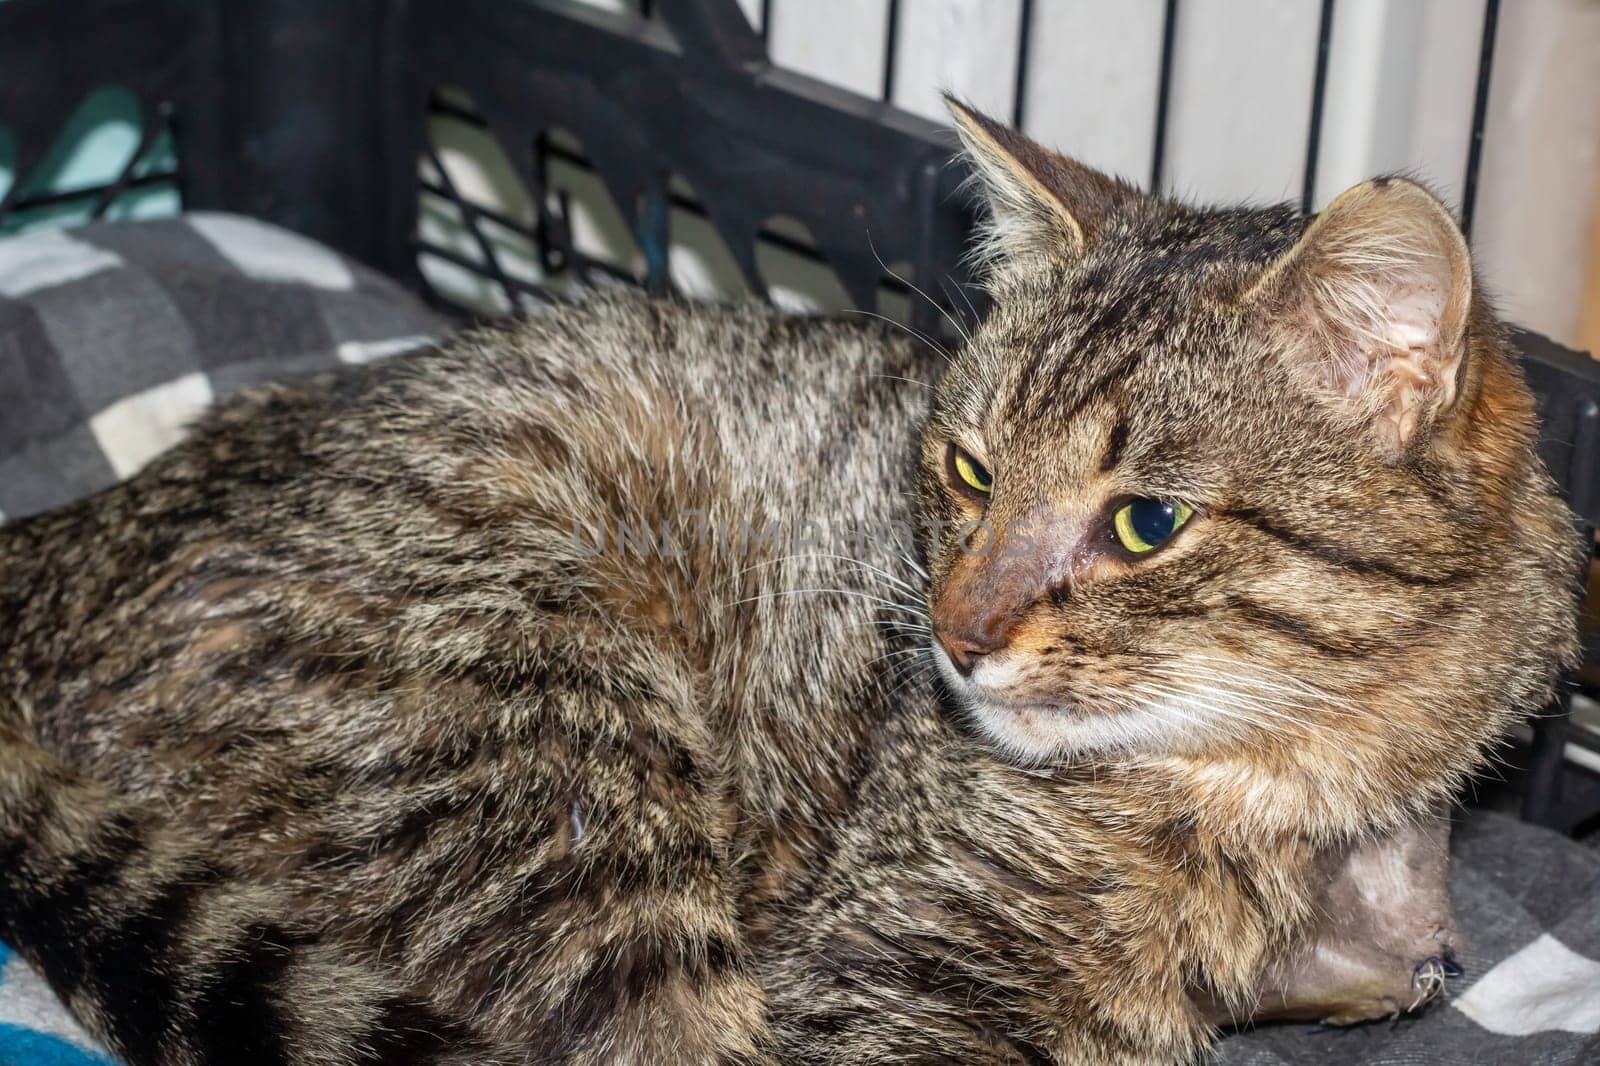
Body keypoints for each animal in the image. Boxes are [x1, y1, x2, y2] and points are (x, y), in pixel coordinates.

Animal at [0, 101, 1580, 1062]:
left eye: (1145, 523)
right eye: (967, 469)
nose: (953, 632)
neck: (1303, 782)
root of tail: (62, 538)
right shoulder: (885, 987)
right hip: (548, 756)